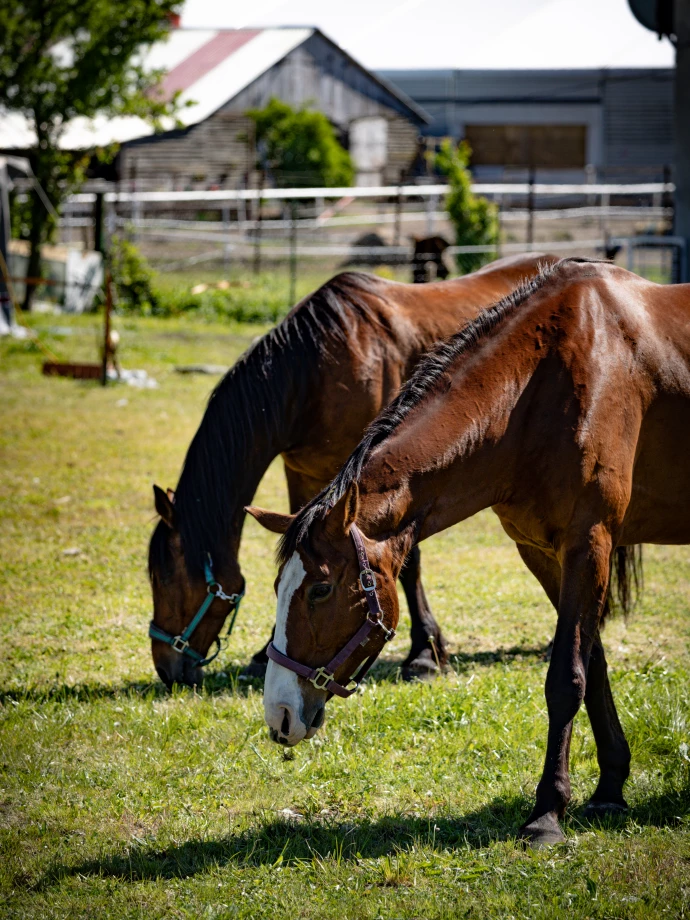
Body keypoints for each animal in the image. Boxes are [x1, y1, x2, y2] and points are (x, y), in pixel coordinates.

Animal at [148, 252, 556, 688]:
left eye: (165, 577)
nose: (166, 668)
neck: (314, 370)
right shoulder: (306, 475)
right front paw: (265, 652)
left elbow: (407, 563)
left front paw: (425, 654)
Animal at [249, 258, 688, 848]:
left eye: (319, 588)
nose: (279, 713)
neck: (539, 388)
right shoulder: (543, 552)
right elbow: (592, 667)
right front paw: (611, 786)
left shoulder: (590, 542)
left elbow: (565, 678)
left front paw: (548, 812)